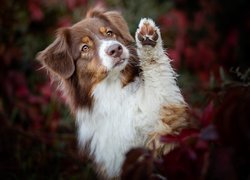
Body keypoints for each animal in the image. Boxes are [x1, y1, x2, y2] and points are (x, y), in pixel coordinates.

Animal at [36, 7, 188, 179]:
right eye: (85, 48)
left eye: (109, 33)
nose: (115, 49)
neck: (113, 91)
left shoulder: (164, 123)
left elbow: (158, 78)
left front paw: (147, 38)